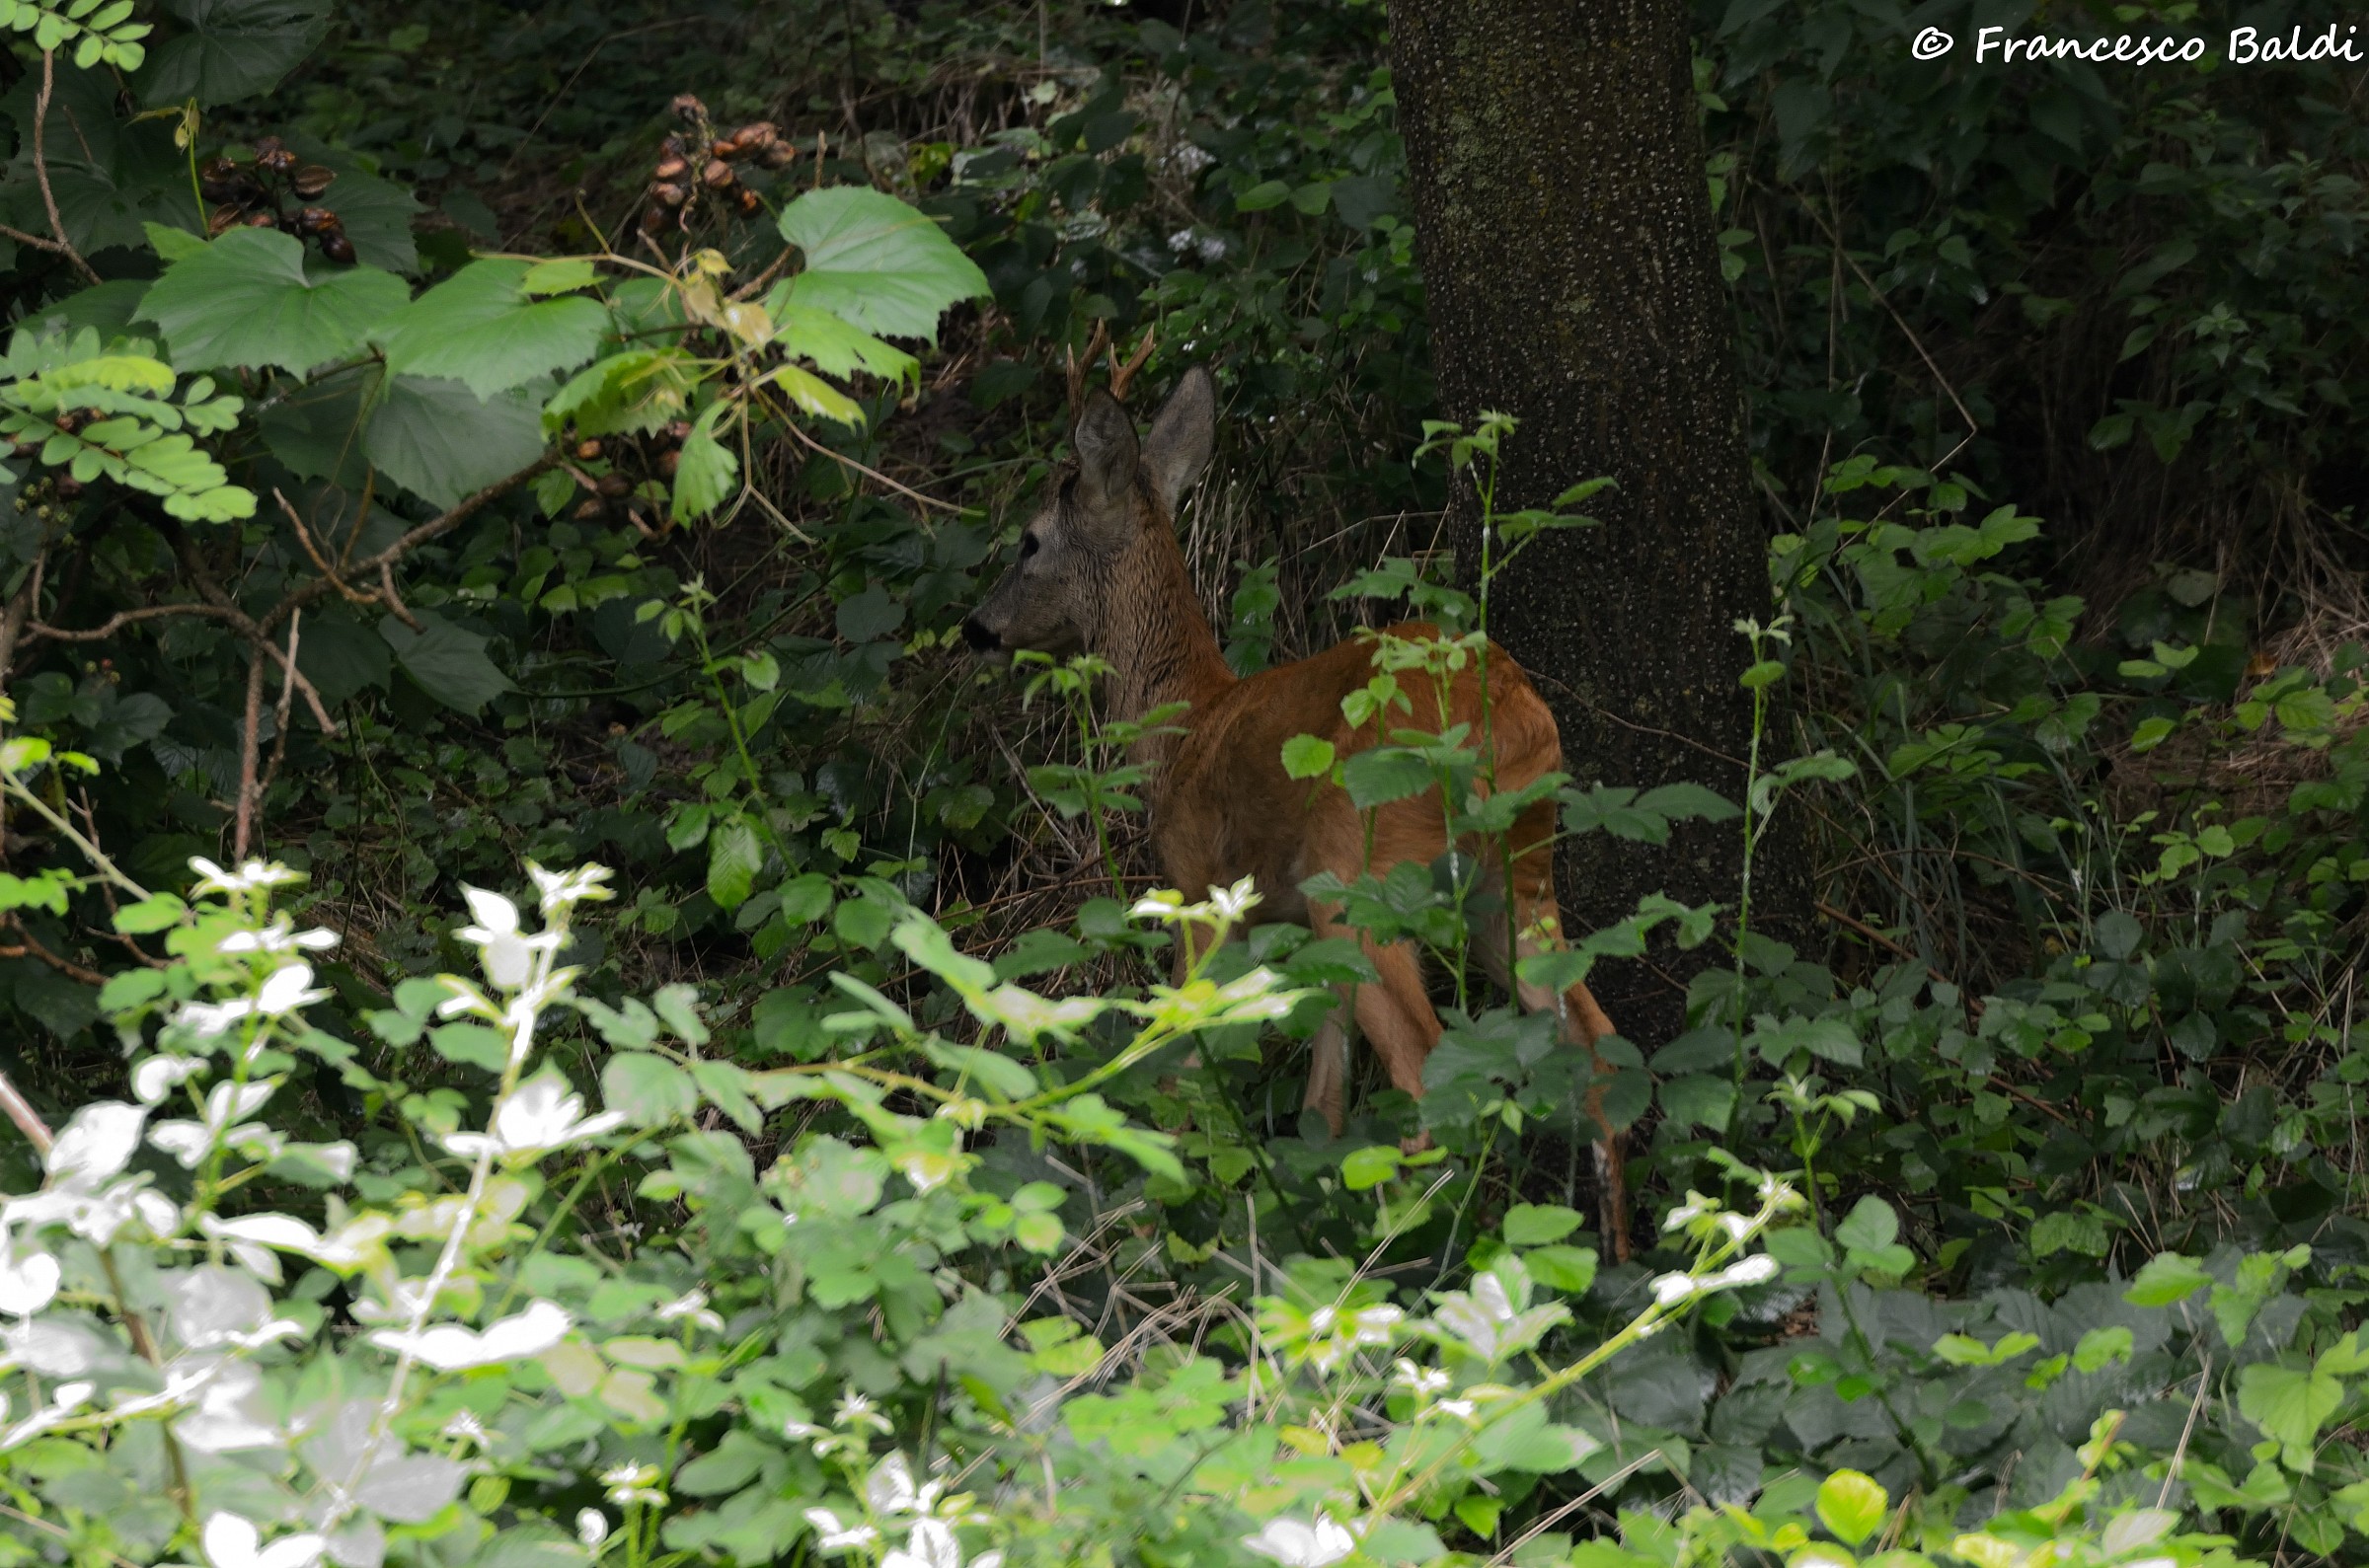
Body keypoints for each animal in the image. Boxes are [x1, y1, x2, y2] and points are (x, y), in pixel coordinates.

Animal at [961, 332, 1632, 1250]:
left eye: (1029, 542)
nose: (976, 627)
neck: (1186, 724)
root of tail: (1511, 719)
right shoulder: (1298, 934)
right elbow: (1326, 1095)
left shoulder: (1203, 891)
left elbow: (1181, 1058)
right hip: (1516, 875)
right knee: (1596, 1045)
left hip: (1363, 873)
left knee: (1428, 1071)